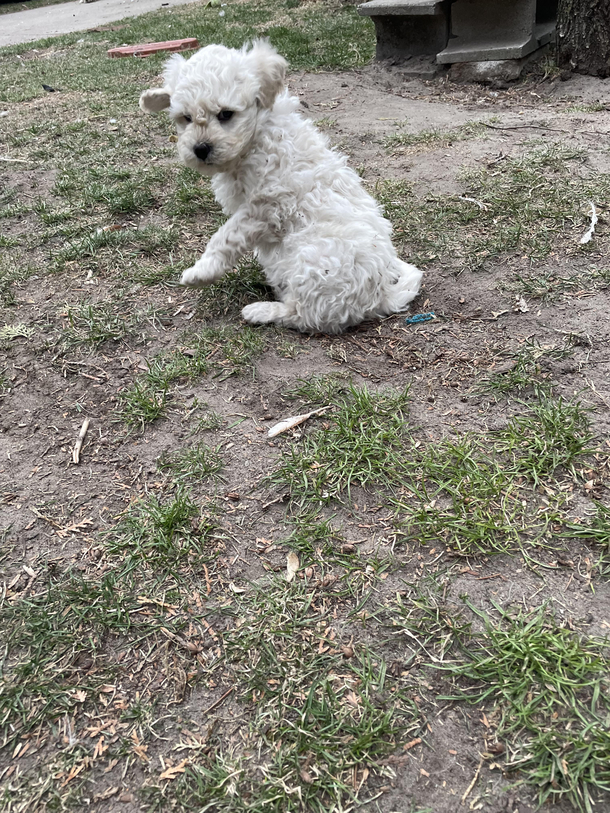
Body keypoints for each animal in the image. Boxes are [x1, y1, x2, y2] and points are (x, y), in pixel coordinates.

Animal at [140, 40, 420, 334]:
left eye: (226, 114)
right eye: (186, 118)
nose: (200, 149)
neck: (255, 138)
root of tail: (381, 297)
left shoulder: (266, 205)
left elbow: (225, 237)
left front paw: (201, 272)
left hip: (313, 262)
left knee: (306, 316)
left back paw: (262, 310)